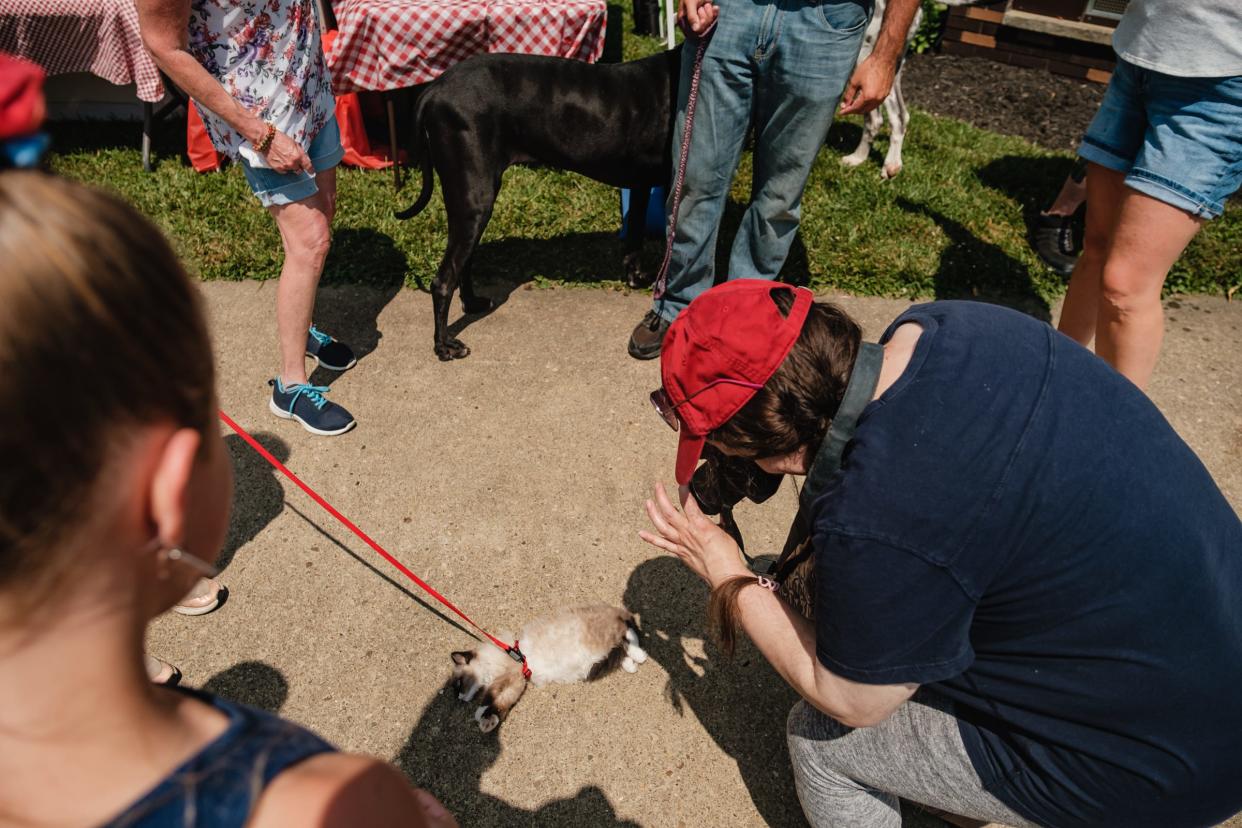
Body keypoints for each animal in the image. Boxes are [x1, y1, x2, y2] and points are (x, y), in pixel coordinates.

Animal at [397, 48, 685, 360]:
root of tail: (434, 89)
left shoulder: (642, 182)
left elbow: (634, 237)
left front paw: (636, 277)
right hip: (475, 196)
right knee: (443, 280)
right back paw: (444, 345)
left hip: (469, 199)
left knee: (463, 260)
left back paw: (472, 303)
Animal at [452, 603, 645, 729]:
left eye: (459, 684)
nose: (460, 698)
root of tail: (612, 608)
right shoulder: (516, 683)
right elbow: (501, 705)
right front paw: (489, 722)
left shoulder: (508, 676)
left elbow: (489, 696)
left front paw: (480, 714)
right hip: (607, 646)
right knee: (623, 646)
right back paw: (632, 664)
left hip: (606, 633)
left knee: (629, 628)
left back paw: (640, 655)